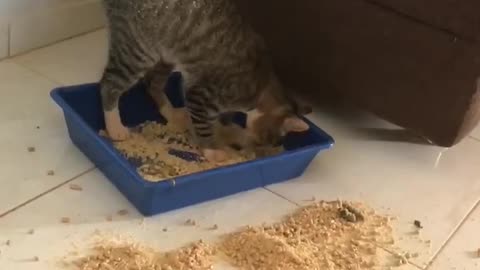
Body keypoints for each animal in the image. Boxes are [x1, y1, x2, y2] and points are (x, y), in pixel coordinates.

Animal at [101, 0, 312, 160]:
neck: (261, 86)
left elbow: (220, 121)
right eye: (272, 139)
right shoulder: (200, 95)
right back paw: (115, 127)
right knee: (109, 84)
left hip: (165, 54)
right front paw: (212, 150)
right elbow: (204, 126)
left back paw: (171, 112)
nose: (263, 144)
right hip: (139, 51)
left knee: (152, 82)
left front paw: (228, 132)